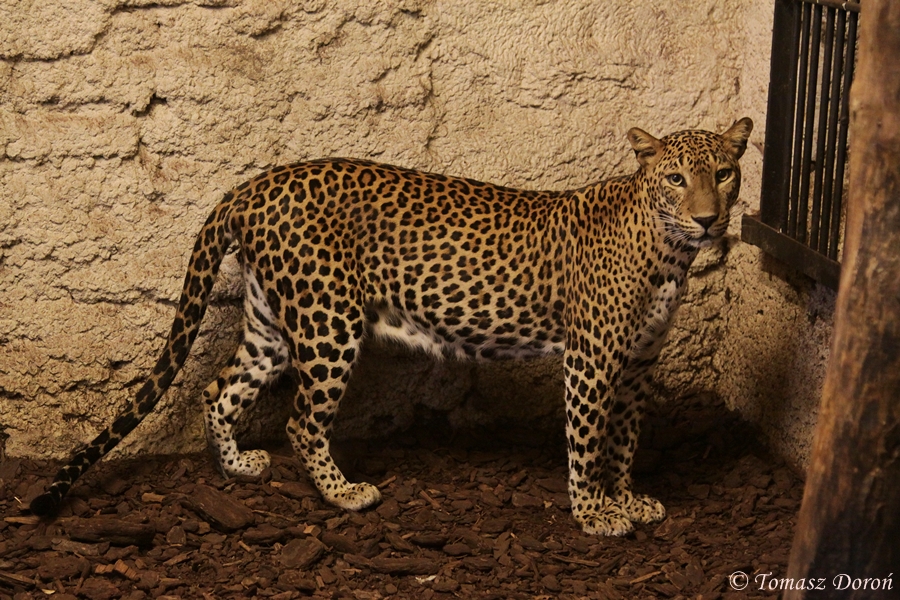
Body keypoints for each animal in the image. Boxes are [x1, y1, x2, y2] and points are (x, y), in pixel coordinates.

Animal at [30, 117, 752, 536]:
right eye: (675, 177)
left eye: (724, 173)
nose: (709, 220)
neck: (668, 253)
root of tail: (254, 184)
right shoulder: (593, 360)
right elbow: (589, 439)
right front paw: (596, 513)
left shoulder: (638, 363)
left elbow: (625, 439)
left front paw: (628, 499)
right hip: (329, 322)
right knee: (301, 420)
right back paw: (345, 495)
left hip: (271, 321)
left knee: (221, 388)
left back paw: (238, 468)